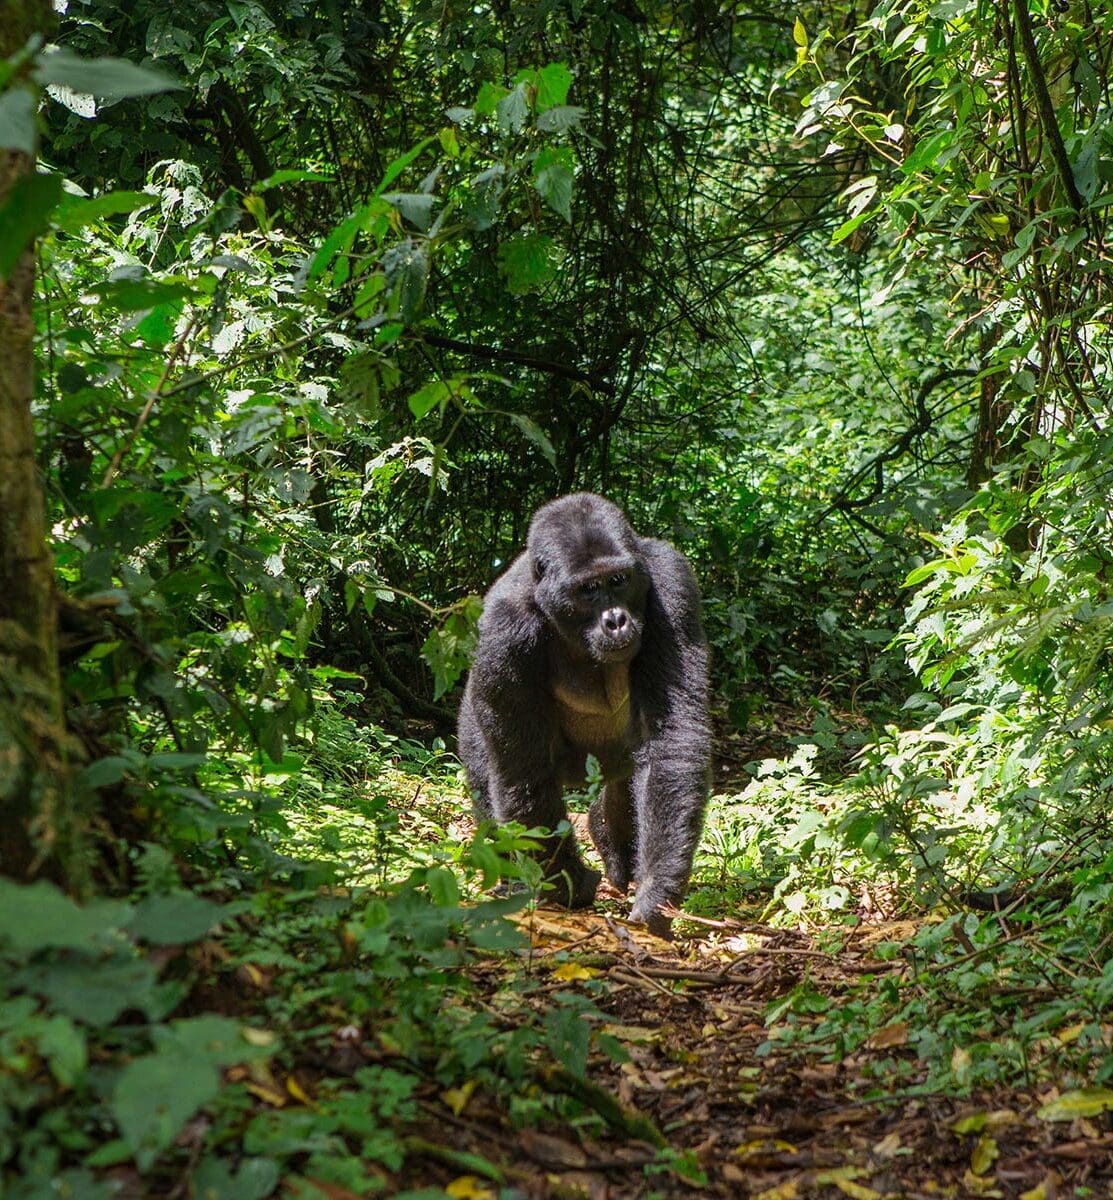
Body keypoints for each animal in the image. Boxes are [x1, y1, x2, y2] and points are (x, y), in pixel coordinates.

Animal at [455, 492, 710, 931]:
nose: (617, 620)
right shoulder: (504, 631)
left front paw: (656, 888)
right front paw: (567, 883)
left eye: (619, 581)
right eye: (588, 589)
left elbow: (672, 740)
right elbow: (524, 772)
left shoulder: (671, 580)